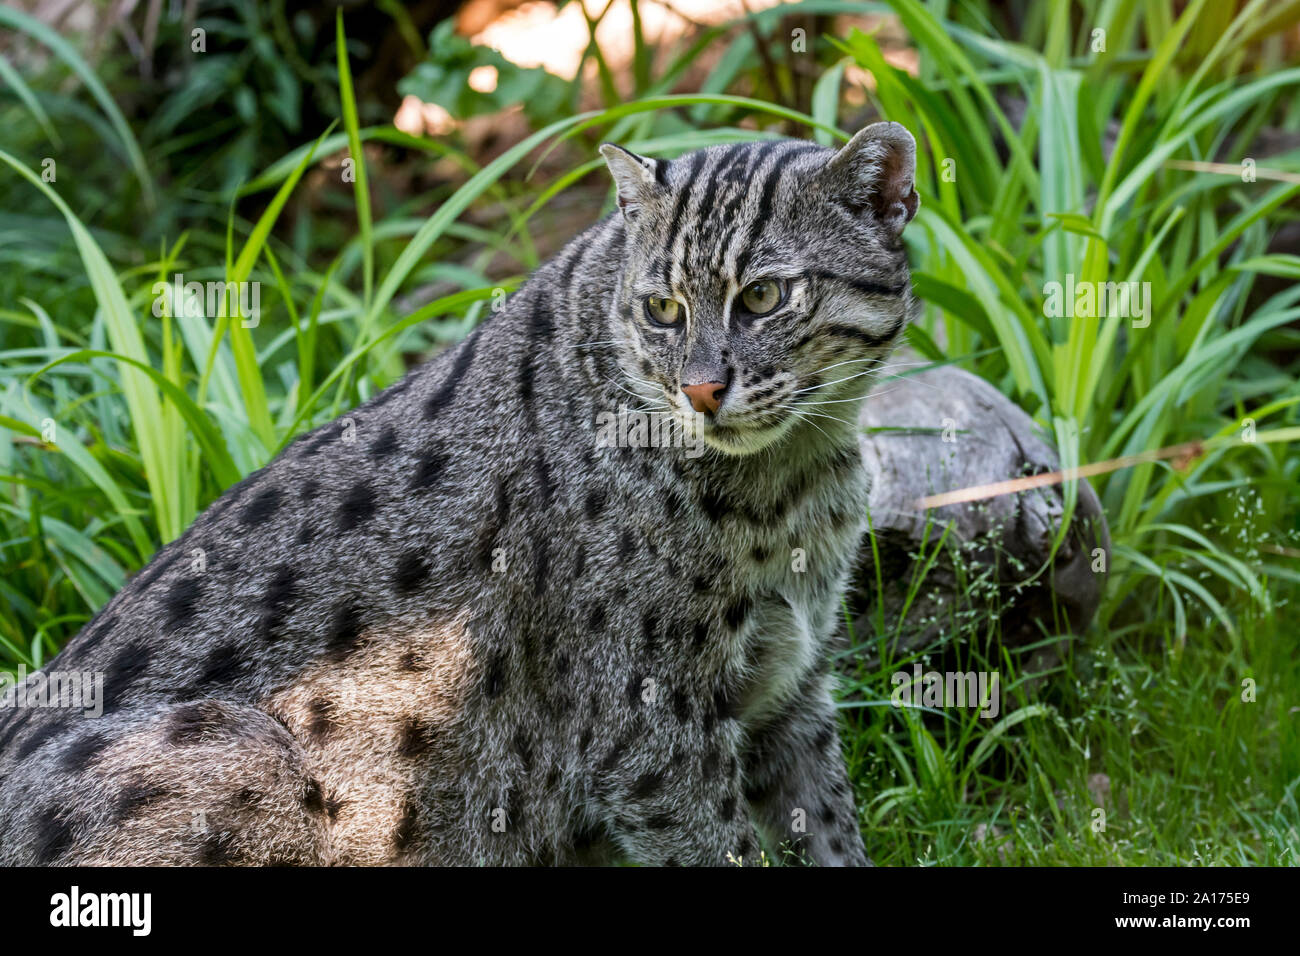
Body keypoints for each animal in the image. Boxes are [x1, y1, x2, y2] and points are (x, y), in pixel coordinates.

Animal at [0, 121, 920, 868]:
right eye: (662, 308)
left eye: (763, 295)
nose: (699, 391)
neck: (797, 479)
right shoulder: (649, 733)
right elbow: (725, 846)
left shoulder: (792, 689)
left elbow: (831, 831)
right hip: (233, 746)